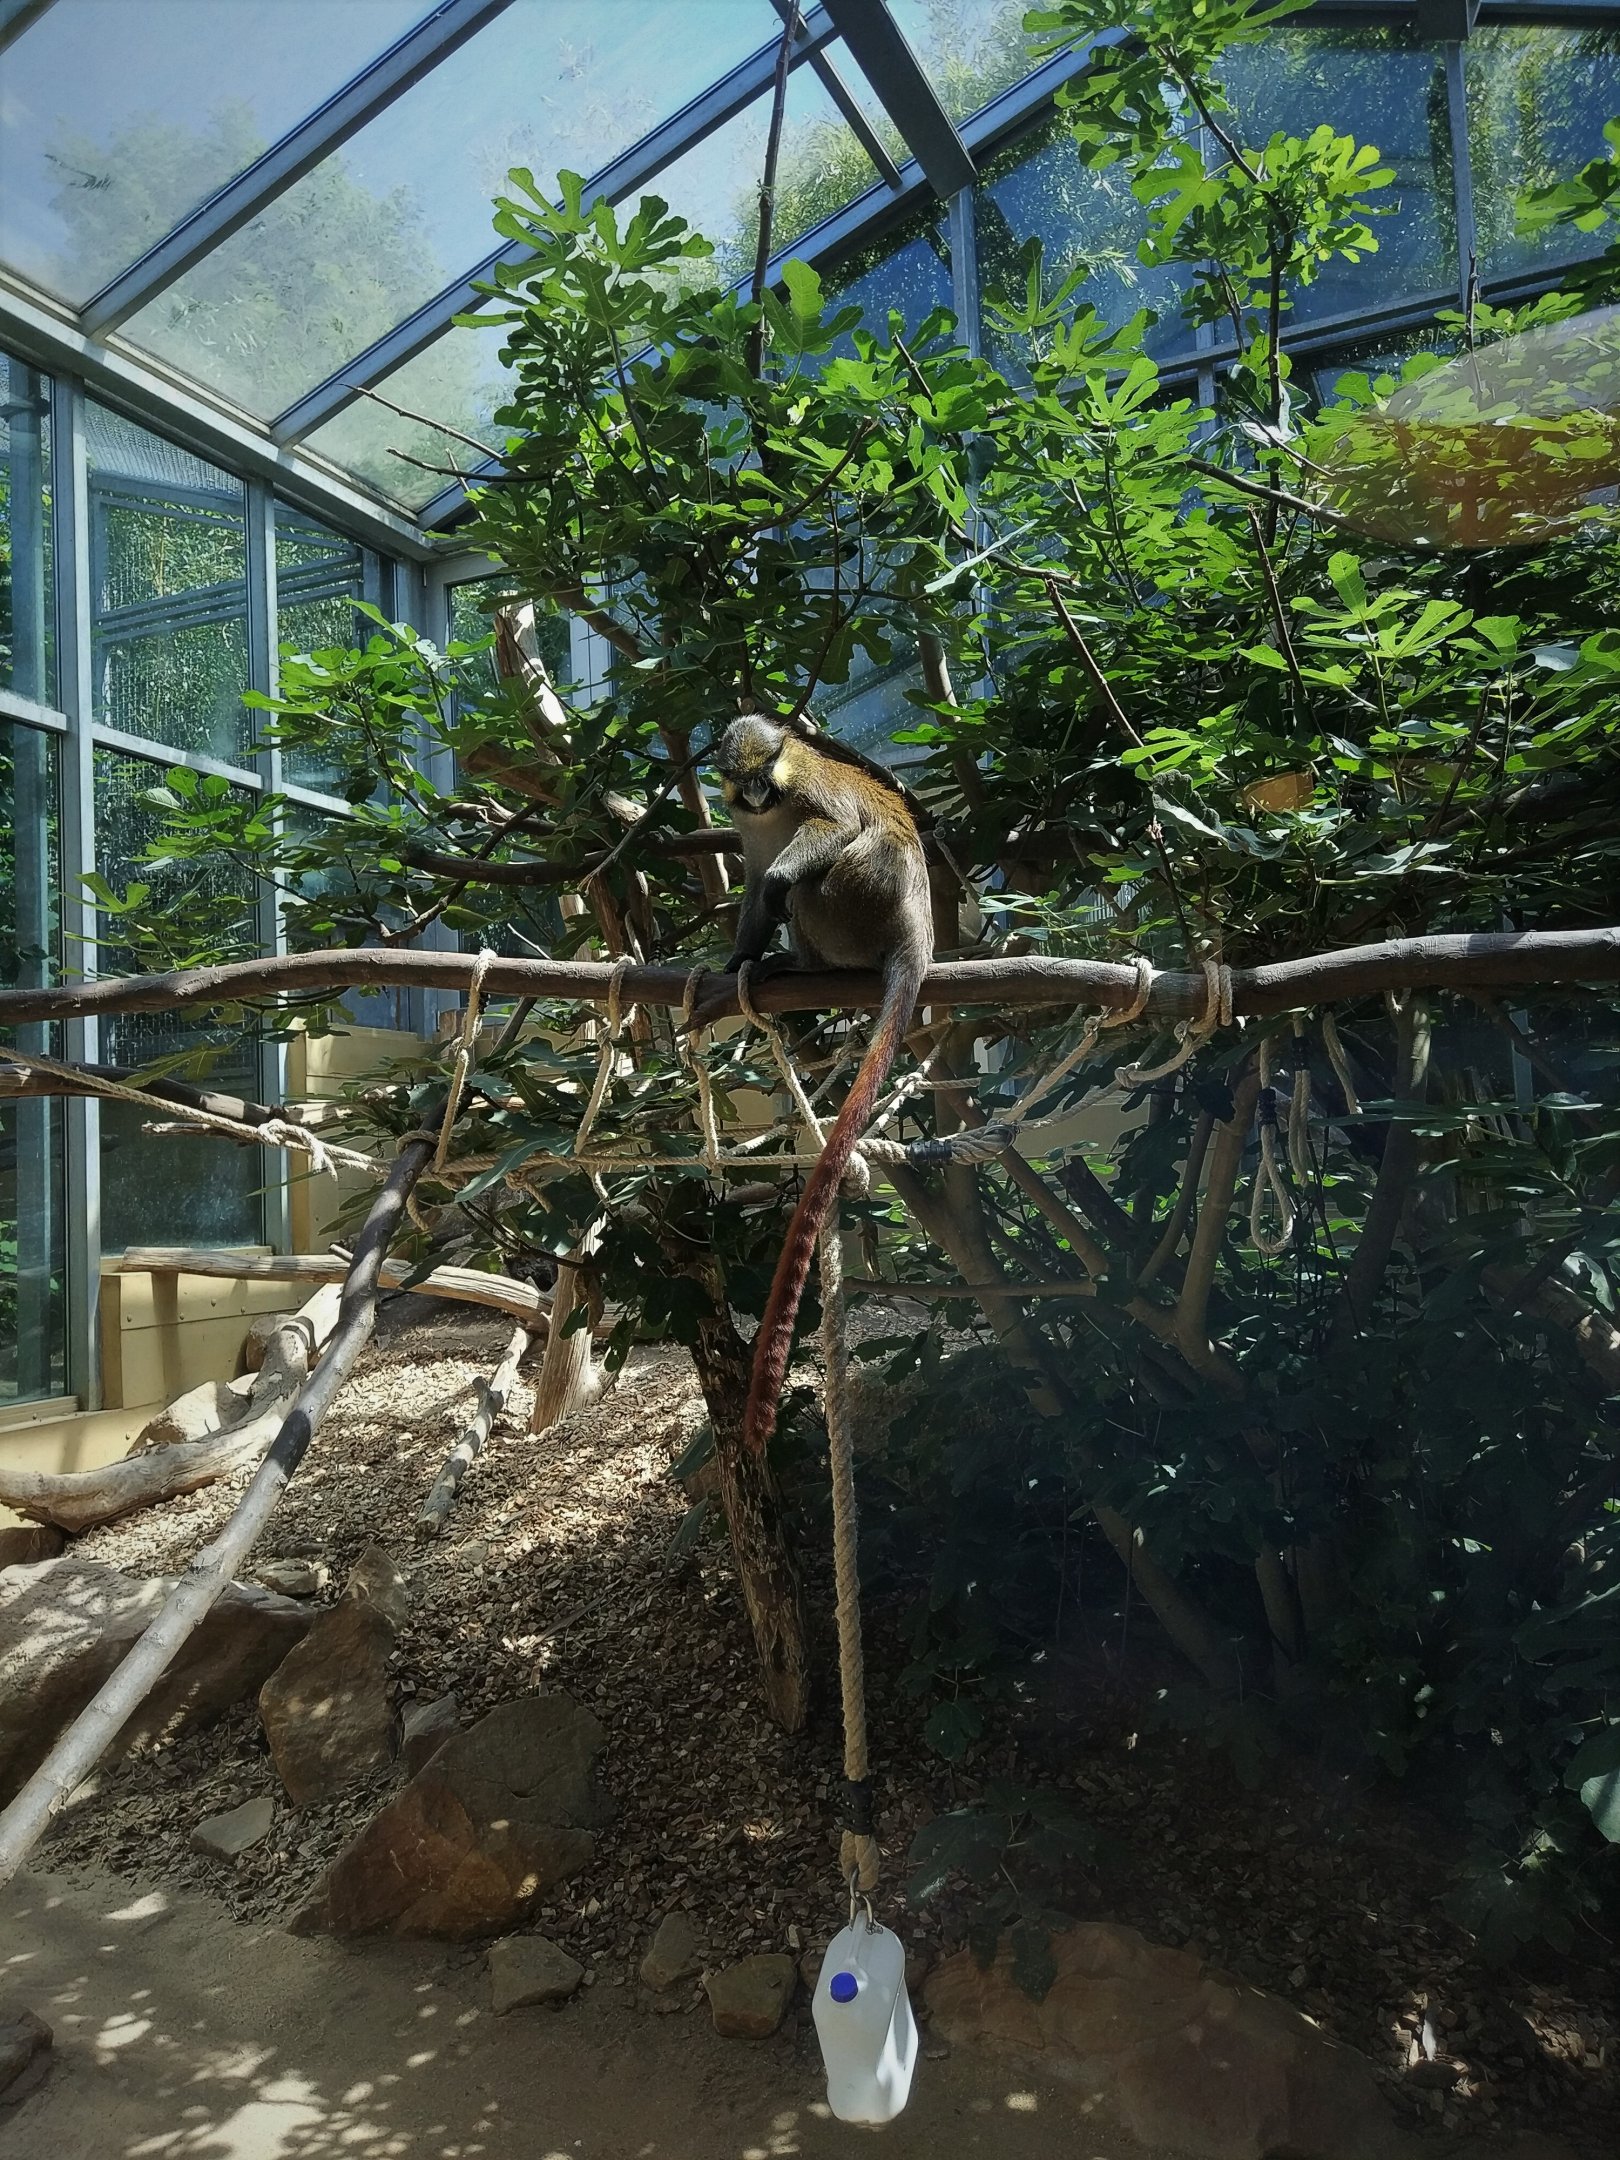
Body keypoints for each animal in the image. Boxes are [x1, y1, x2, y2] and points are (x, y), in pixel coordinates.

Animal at [710, 714, 933, 1454]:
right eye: (739, 776)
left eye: (766, 772)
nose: (755, 794)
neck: (771, 801)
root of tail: (915, 929)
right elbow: (753, 885)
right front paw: (737, 958)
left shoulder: (806, 789)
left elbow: (827, 831)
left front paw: (778, 887)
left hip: (855, 901)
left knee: (817, 877)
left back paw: (804, 961)